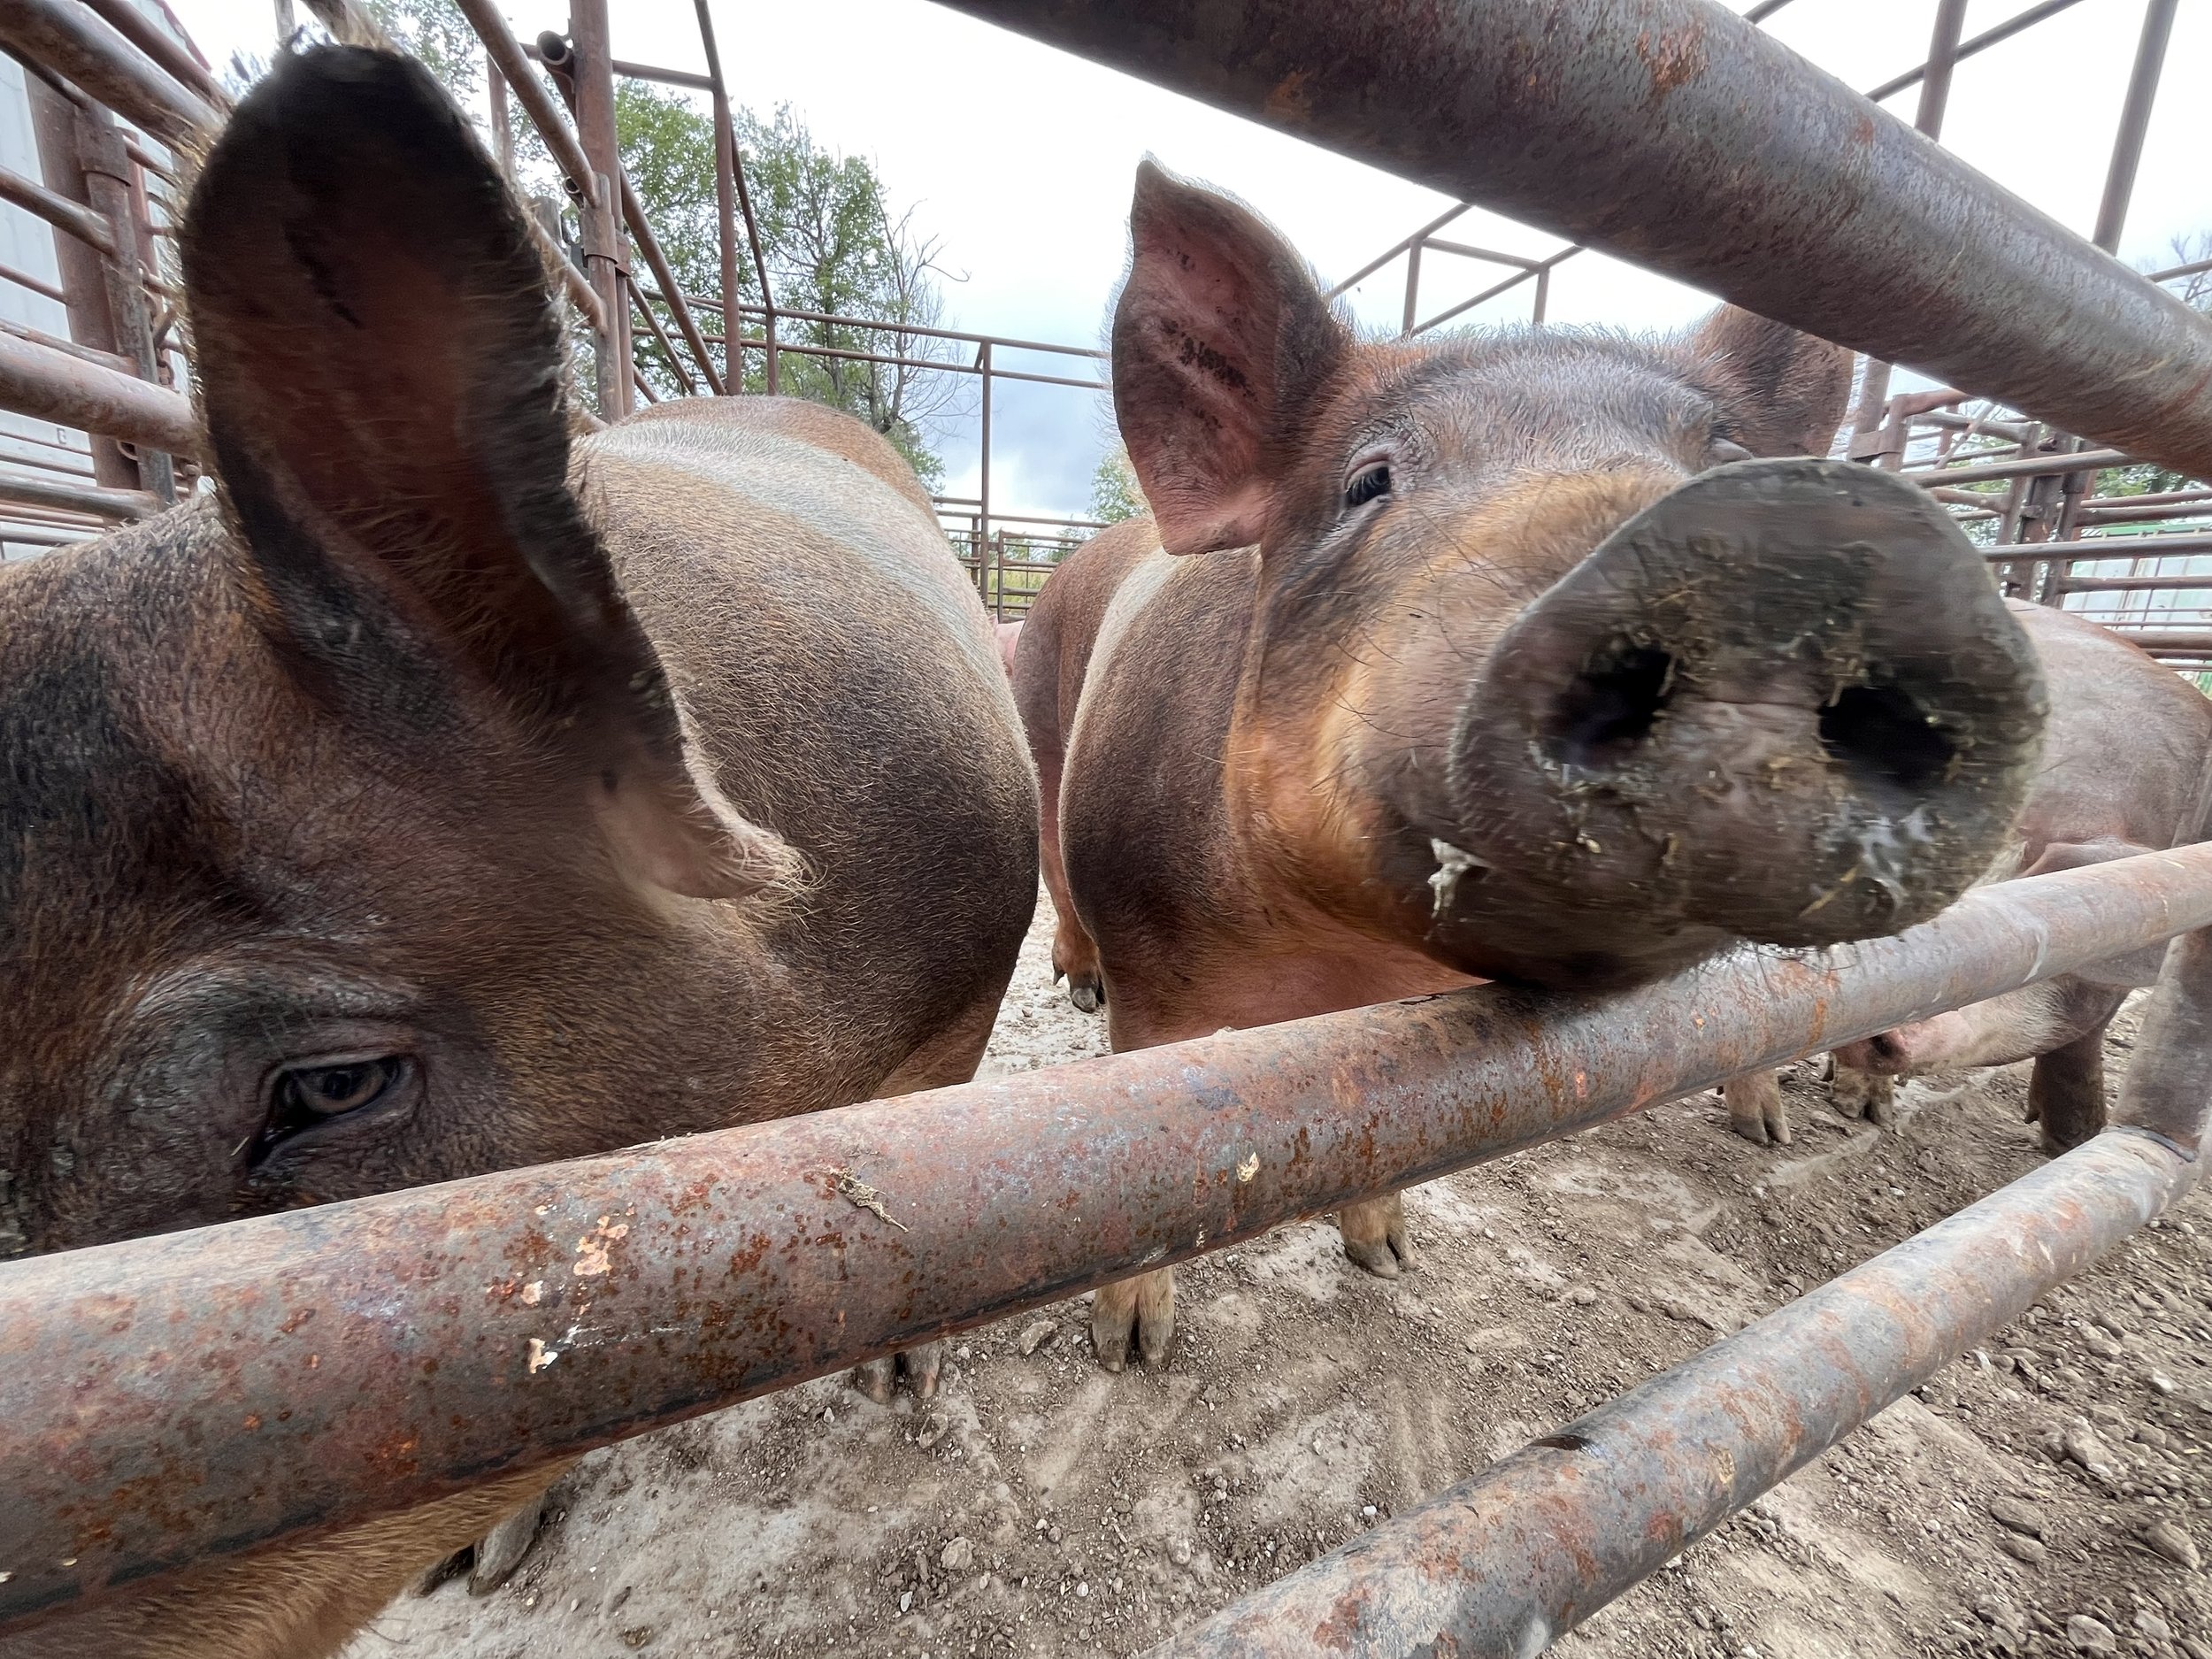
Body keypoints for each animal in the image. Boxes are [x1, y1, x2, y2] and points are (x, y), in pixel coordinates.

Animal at [1013, 163, 2046, 1373]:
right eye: (1369, 479)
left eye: (1731, 459)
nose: (1750, 551)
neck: (1326, 964)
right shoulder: (1155, 981)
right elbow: (1150, 1170)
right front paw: (1132, 1349)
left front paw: (1388, 1258)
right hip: (1041, 724)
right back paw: (1071, 982)